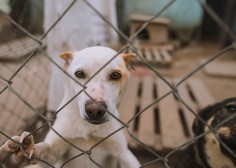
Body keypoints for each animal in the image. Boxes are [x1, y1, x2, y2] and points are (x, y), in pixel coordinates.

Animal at [0, 46, 140, 168]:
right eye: (79, 74)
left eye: (115, 75)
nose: (95, 110)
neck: (87, 128)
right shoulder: (55, 151)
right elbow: (45, 149)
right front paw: (29, 147)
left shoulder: (123, 153)